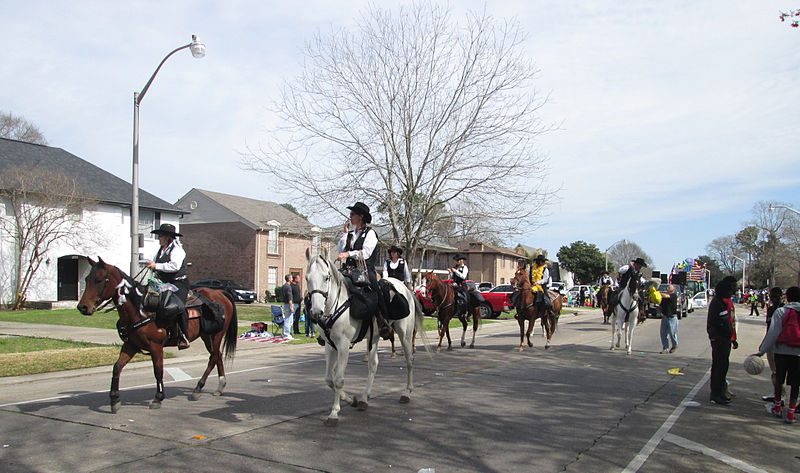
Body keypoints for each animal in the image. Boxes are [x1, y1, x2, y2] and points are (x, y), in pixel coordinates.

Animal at [76, 256, 236, 412]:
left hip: (216, 335)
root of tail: (220, 293)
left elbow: (158, 371)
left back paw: (198, 388)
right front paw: (114, 399)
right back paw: (220, 387)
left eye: (99, 280)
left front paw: (158, 398)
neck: (141, 309)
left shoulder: (156, 346)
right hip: (207, 336)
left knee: (213, 357)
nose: (82, 307)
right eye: (87, 279)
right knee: (217, 356)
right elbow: (117, 367)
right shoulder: (131, 345)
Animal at [306, 249, 432, 426]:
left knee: (409, 361)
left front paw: (334, 413)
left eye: (326, 277)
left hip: (405, 334)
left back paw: (406, 393)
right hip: (374, 337)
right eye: (307, 278)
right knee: (373, 364)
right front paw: (351, 400)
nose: (316, 312)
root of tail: (407, 289)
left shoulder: (343, 345)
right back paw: (364, 399)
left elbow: (338, 380)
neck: (336, 305)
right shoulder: (330, 345)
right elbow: (329, 379)